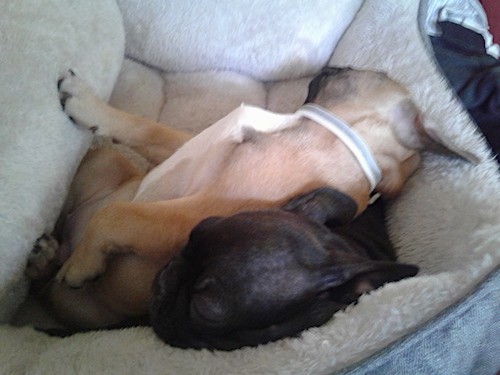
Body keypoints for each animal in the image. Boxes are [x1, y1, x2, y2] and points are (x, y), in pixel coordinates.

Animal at [26, 67, 472, 338]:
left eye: (377, 74)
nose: (331, 65)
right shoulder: (187, 146)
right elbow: (149, 129)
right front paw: (89, 105)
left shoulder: (197, 212)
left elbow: (118, 214)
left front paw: (84, 262)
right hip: (103, 162)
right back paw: (45, 255)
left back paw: (56, 262)